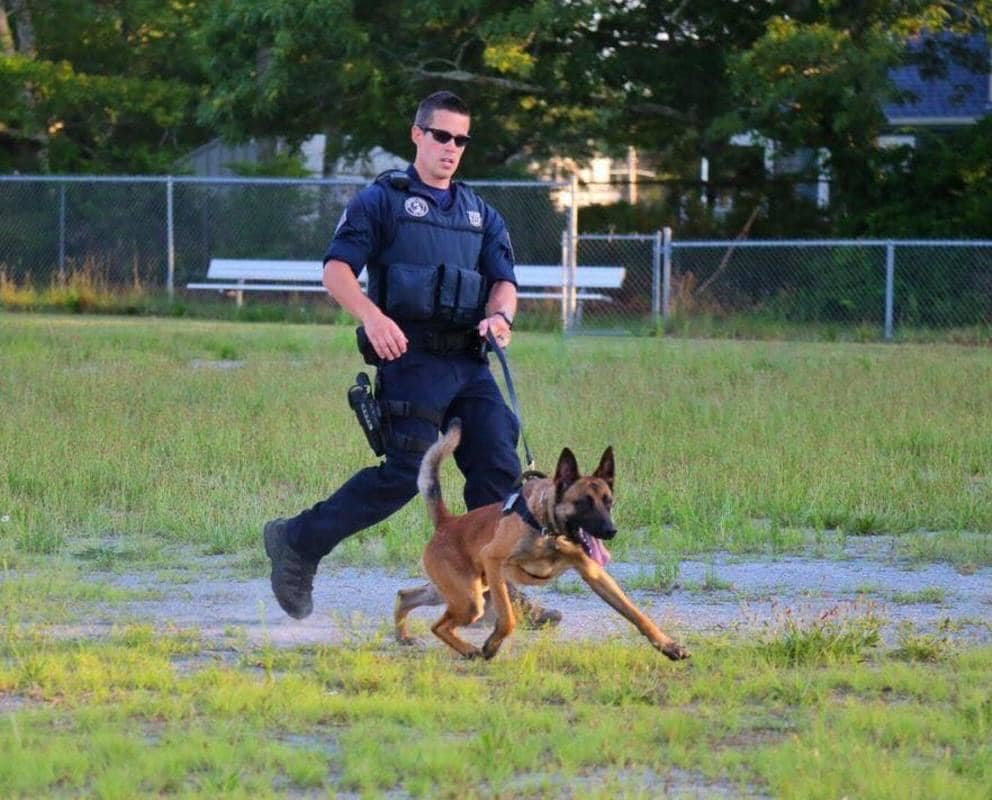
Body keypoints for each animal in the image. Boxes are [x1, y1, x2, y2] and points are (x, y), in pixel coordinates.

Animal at [396, 418, 688, 664]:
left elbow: (635, 613)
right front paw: (491, 645)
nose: (611, 531)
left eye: (608, 502)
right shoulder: (493, 560)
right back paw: (468, 650)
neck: (549, 530)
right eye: (584, 503)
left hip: (462, 591)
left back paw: (403, 636)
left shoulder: (594, 574)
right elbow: (508, 619)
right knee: (438, 625)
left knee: (406, 596)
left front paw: (668, 645)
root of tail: (448, 522)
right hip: (470, 599)